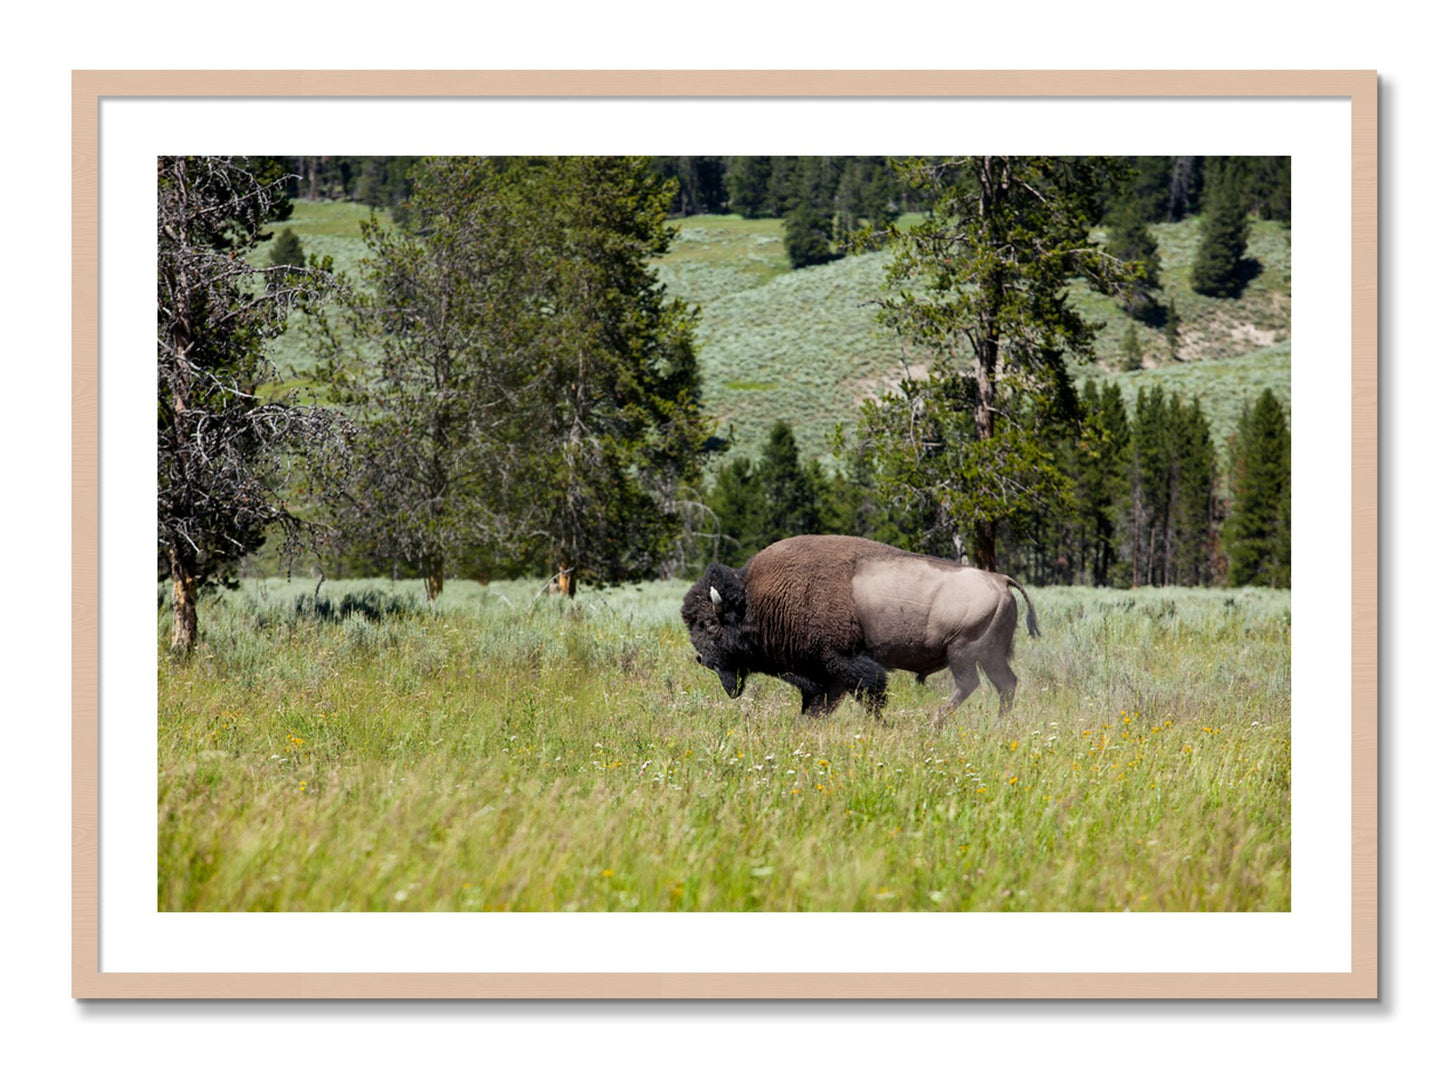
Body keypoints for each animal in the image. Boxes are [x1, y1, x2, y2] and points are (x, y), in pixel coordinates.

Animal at [681, 535, 1039, 724]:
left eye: (710, 624)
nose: (702, 658)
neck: (757, 599)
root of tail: (999, 579)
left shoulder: (843, 662)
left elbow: (870, 693)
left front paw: (879, 724)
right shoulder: (823, 675)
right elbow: (819, 704)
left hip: (963, 652)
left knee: (970, 685)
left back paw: (934, 722)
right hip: (990, 655)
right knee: (1006, 684)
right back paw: (998, 723)